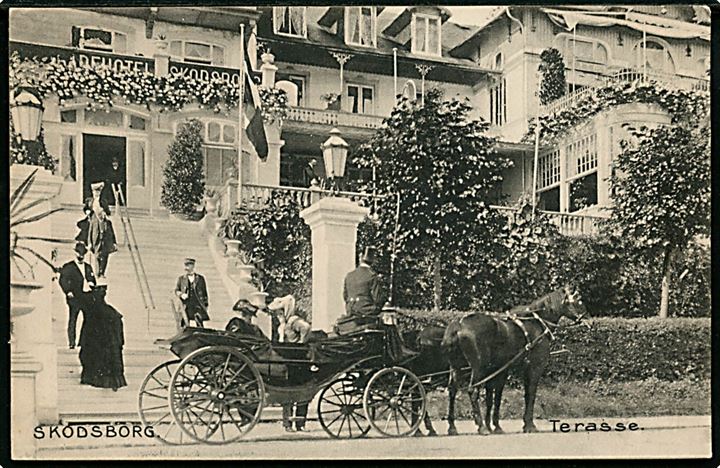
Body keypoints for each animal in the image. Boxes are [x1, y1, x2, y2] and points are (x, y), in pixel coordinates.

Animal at [438, 286, 592, 436]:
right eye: (578, 301)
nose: (589, 320)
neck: (537, 322)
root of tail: (459, 325)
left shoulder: (499, 370)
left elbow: (493, 397)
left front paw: (495, 425)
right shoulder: (534, 367)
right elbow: (530, 394)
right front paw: (529, 425)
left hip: (456, 367)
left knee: (452, 390)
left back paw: (452, 427)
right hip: (478, 368)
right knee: (473, 391)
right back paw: (481, 427)